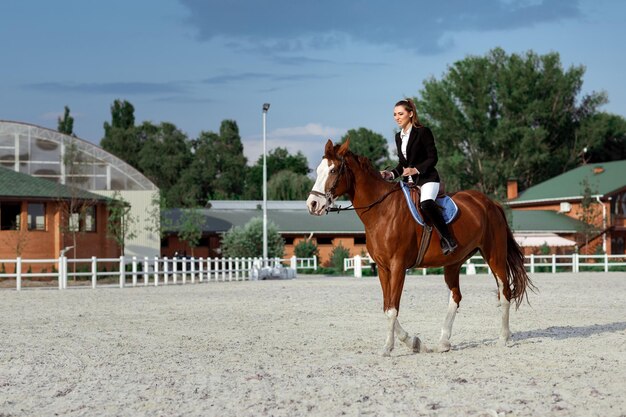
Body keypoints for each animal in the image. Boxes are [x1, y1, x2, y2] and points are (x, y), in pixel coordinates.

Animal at [308, 140, 532, 354]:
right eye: (318, 170)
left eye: (333, 171)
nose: (312, 204)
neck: (382, 211)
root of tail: (491, 203)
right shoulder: (383, 268)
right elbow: (387, 307)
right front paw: (415, 343)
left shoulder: (398, 267)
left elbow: (392, 308)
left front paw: (388, 347)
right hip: (453, 263)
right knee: (456, 296)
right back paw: (443, 342)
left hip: (494, 256)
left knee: (504, 292)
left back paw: (503, 338)